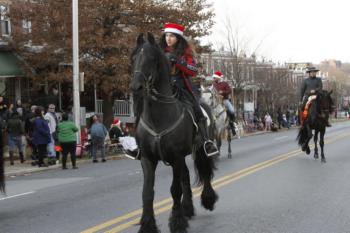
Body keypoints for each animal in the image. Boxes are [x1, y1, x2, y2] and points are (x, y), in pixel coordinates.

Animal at [130, 33, 217, 233]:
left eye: (152, 59)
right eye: (134, 57)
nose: (136, 87)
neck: (159, 117)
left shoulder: (176, 157)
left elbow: (175, 190)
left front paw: (177, 222)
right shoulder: (148, 158)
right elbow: (147, 192)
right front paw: (147, 225)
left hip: (201, 149)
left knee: (205, 172)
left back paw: (207, 200)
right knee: (185, 177)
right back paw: (188, 209)